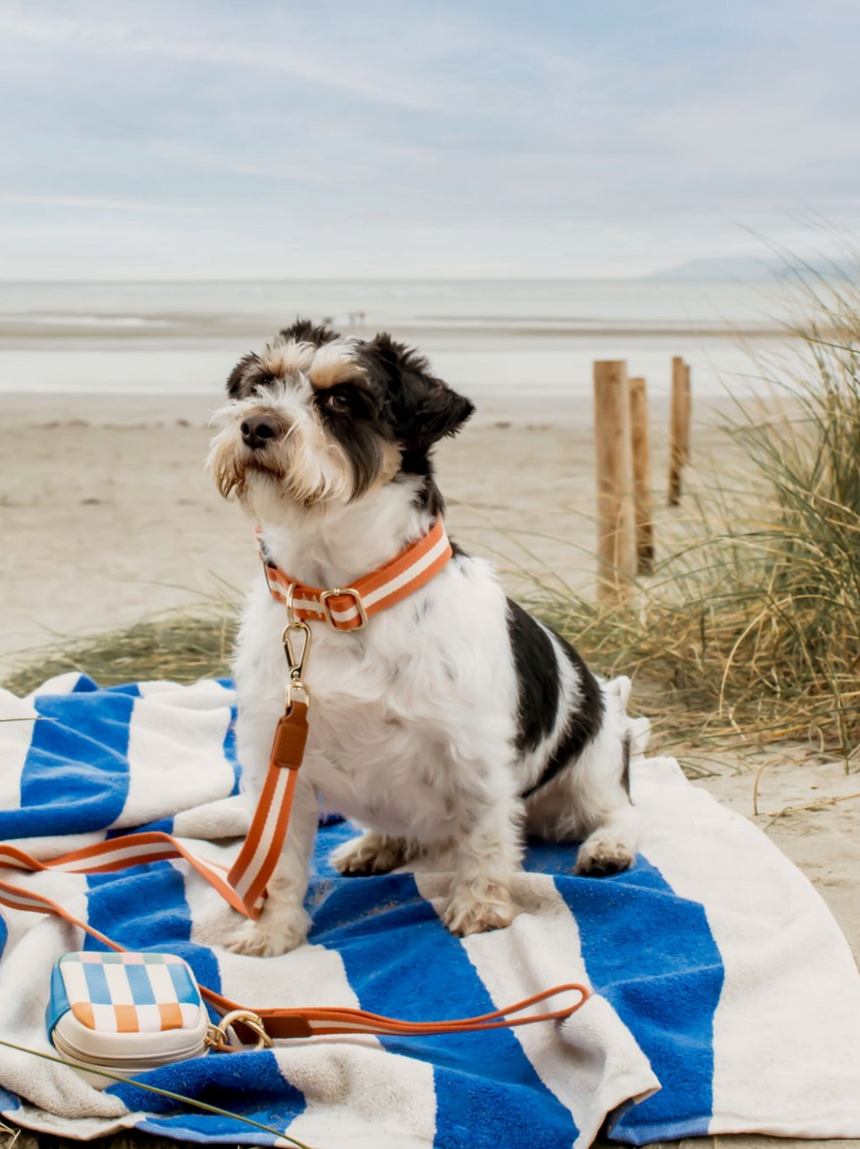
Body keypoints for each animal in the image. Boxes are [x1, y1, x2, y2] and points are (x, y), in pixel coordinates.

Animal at [208, 319, 639, 955]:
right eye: (260, 384)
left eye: (342, 399)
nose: (255, 425)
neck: (342, 599)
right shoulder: (276, 761)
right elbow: (278, 860)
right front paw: (272, 931)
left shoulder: (475, 755)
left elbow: (484, 840)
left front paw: (481, 908)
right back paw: (376, 845)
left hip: (594, 765)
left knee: (619, 810)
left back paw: (608, 846)